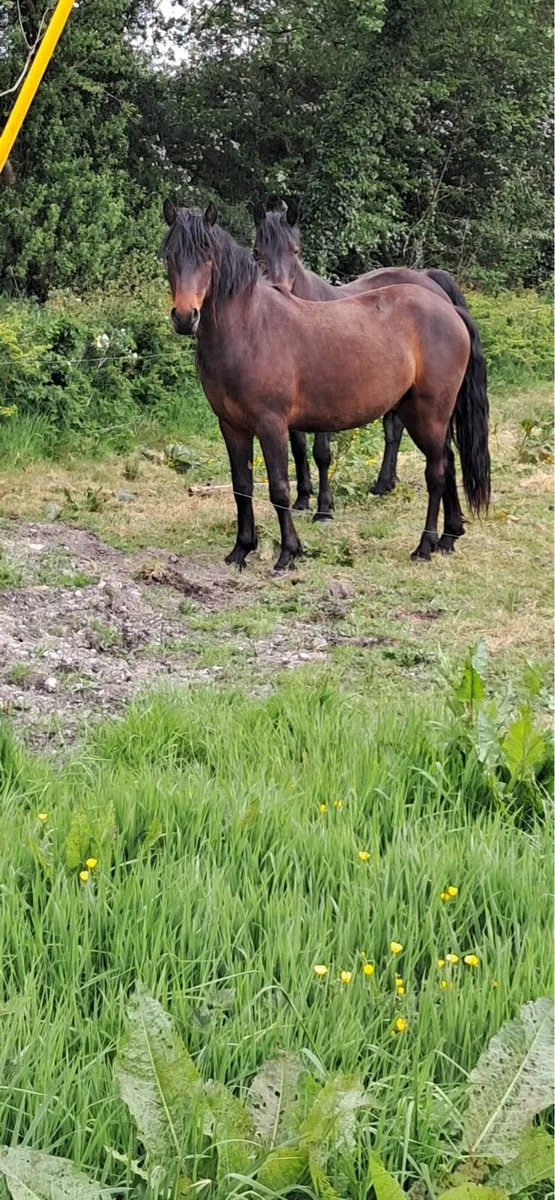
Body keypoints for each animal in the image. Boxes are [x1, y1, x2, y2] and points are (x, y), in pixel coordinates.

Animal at [253, 197, 475, 510]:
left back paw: (384, 482)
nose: (278, 290)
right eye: (257, 251)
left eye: (294, 250)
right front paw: (303, 498)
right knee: (394, 429)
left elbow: (321, 452)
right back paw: (386, 482)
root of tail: (427, 278)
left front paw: (325, 506)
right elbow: (298, 448)